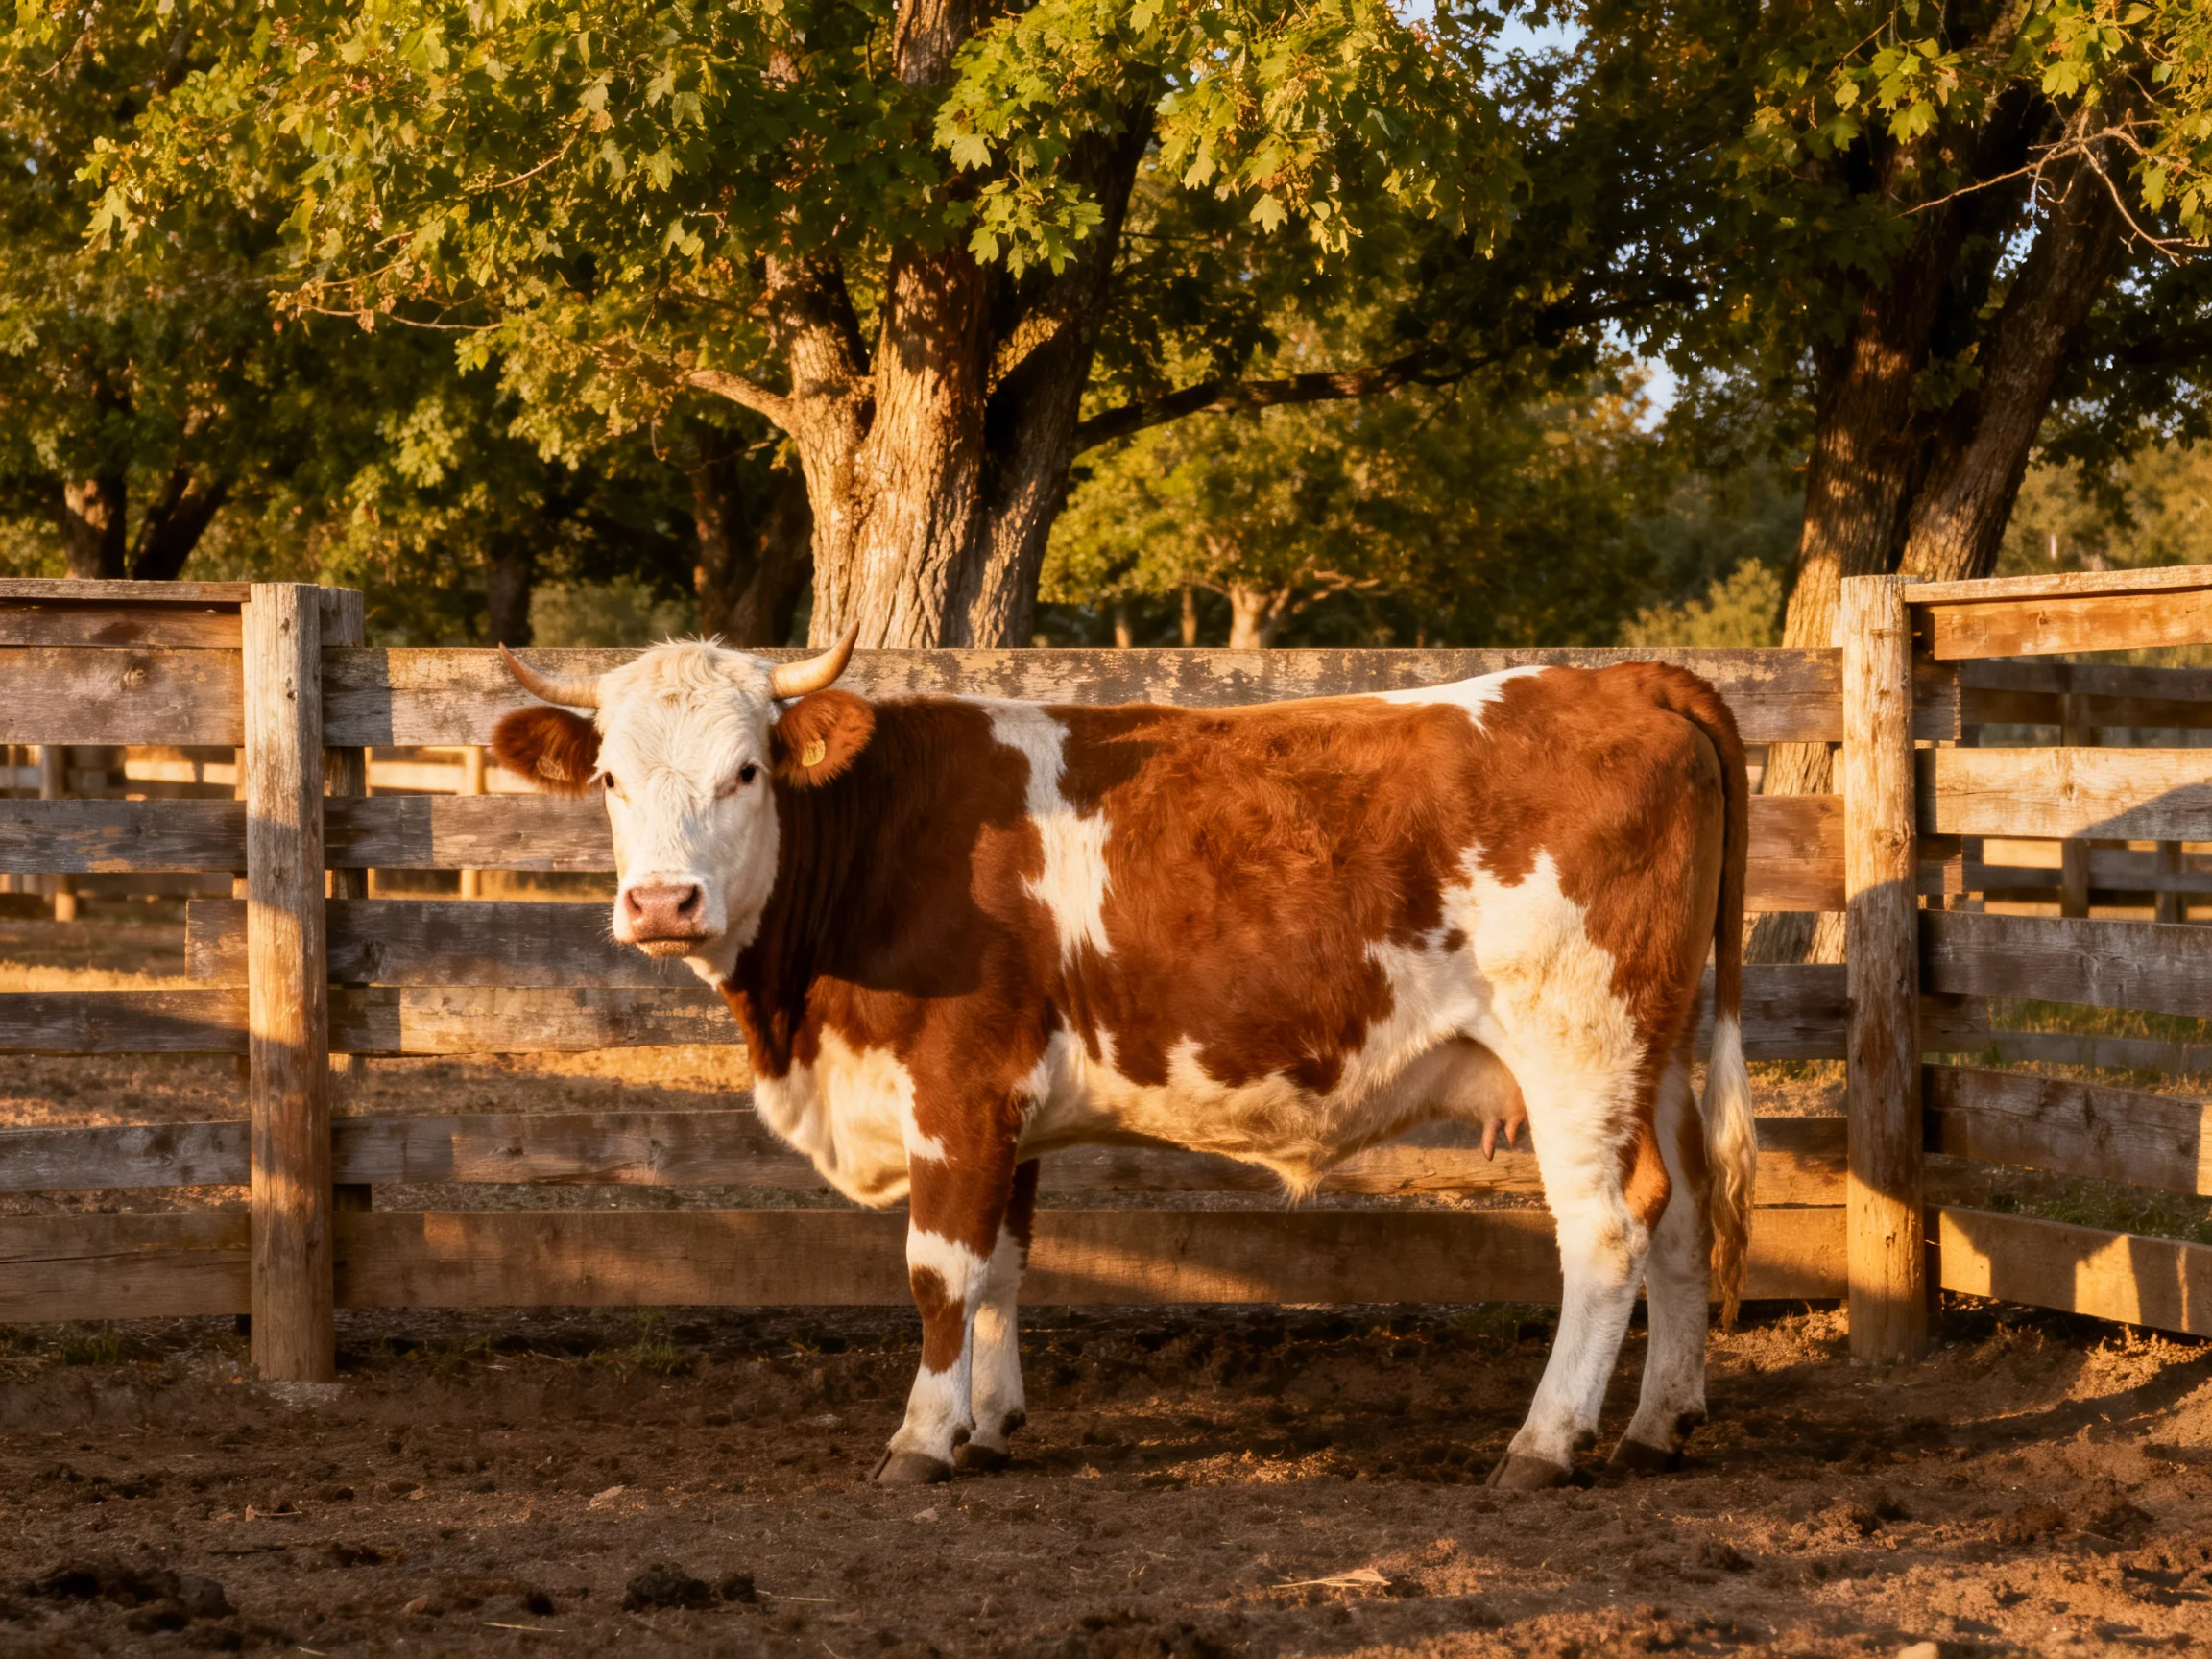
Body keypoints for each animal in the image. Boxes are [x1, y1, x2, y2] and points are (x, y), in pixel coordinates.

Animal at [490, 633, 1756, 1490]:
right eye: (609, 779)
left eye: (747, 772)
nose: (662, 904)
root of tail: (1626, 677)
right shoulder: (1010, 1107)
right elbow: (1002, 1268)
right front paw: (987, 1428)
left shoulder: (956, 1088)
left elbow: (940, 1272)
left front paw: (920, 1440)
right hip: (1659, 1048)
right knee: (1684, 1211)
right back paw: (1658, 1426)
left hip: (1579, 1045)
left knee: (1606, 1230)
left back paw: (1545, 1443)